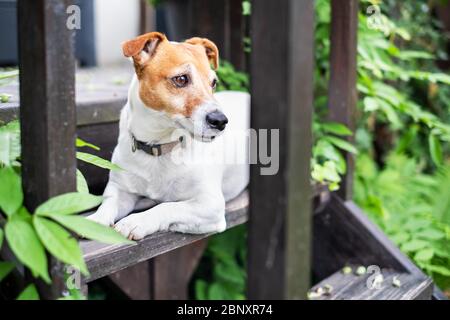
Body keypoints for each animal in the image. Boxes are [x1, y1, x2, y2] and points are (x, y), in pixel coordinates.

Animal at [88, 32, 250, 239]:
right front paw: (95, 220)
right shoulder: (120, 189)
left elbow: (168, 206)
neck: (158, 144)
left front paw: (136, 221)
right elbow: (108, 203)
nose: (220, 121)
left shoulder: (210, 205)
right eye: (181, 79)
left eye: (213, 83)